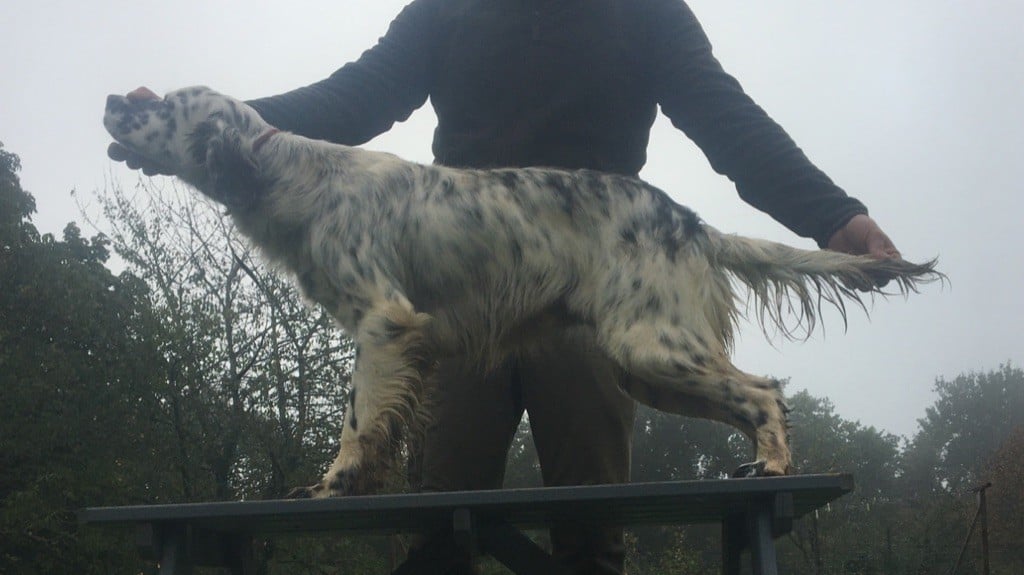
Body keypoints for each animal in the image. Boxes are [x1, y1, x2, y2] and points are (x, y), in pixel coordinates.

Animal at [105, 87, 942, 495]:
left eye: (162, 106)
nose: (113, 102)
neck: (291, 177)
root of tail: (693, 223)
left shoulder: (383, 321)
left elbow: (357, 421)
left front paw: (334, 482)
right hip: (649, 361)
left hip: (650, 343)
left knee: (764, 391)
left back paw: (770, 470)